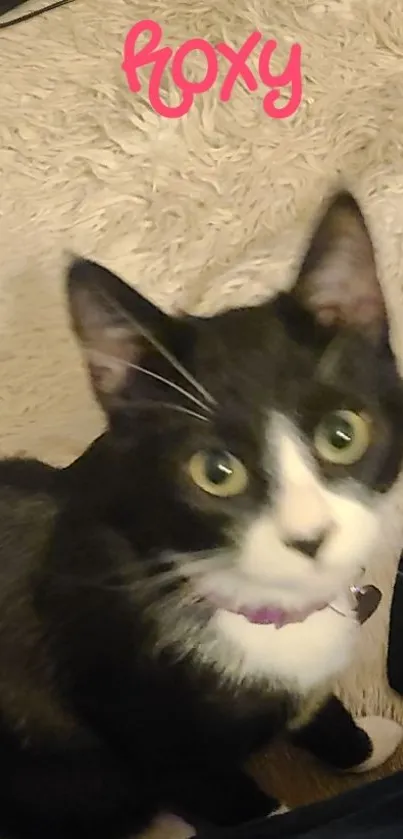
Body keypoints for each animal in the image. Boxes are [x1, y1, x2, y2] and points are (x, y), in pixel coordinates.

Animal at [0, 192, 403, 839]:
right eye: (216, 472)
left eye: (343, 435)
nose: (309, 538)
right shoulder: (150, 739)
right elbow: (236, 805)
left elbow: (314, 705)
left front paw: (362, 742)